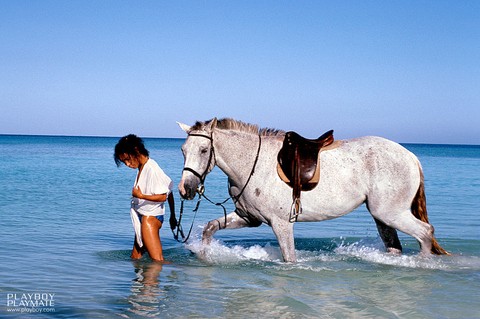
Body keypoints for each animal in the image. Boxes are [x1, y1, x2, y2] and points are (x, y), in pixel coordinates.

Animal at [178, 117, 448, 262]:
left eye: (204, 150)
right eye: (183, 150)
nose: (185, 189)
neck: (252, 164)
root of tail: (410, 156)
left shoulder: (281, 223)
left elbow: (289, 258)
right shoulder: (248, 218)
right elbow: (210, 228)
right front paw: (203, 254)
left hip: (391, 213)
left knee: (425, 233)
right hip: (383, 217)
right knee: (395, 246)